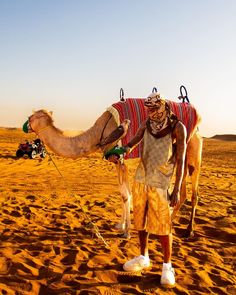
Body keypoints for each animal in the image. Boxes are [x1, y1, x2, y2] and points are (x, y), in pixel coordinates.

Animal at [25, 96, 203, 239]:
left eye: (33, 116)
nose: (26, 124)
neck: (99, 134)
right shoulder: (116, 163)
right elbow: (123, 193)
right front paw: (120, 225)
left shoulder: (121, 161)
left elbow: (126, 196)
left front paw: (126, 232)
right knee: (181, 193)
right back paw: (168, 224)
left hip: (192, 153)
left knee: (191, 193)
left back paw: (187, 231)